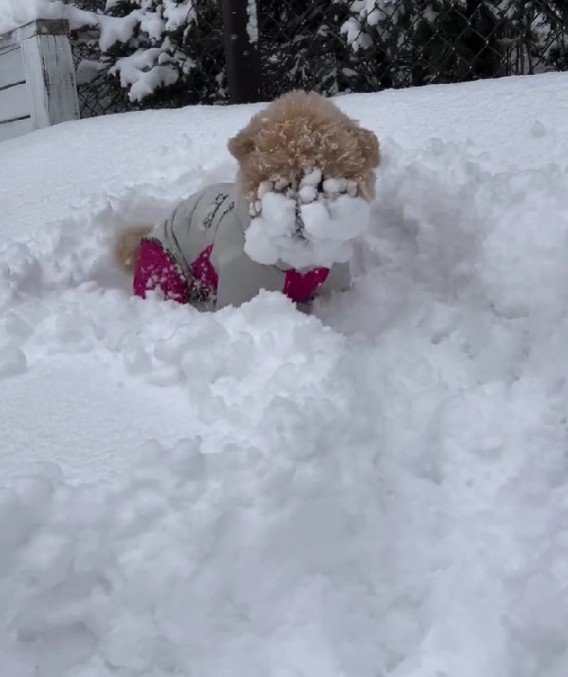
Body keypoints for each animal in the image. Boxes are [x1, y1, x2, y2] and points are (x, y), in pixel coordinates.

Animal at [117, 90, 380, 308]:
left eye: (324, 180)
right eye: (278, 181)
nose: (298, 213)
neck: (295, 264)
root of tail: (147, 233)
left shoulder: (333, 285)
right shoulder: (239, 290)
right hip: (163, 269)